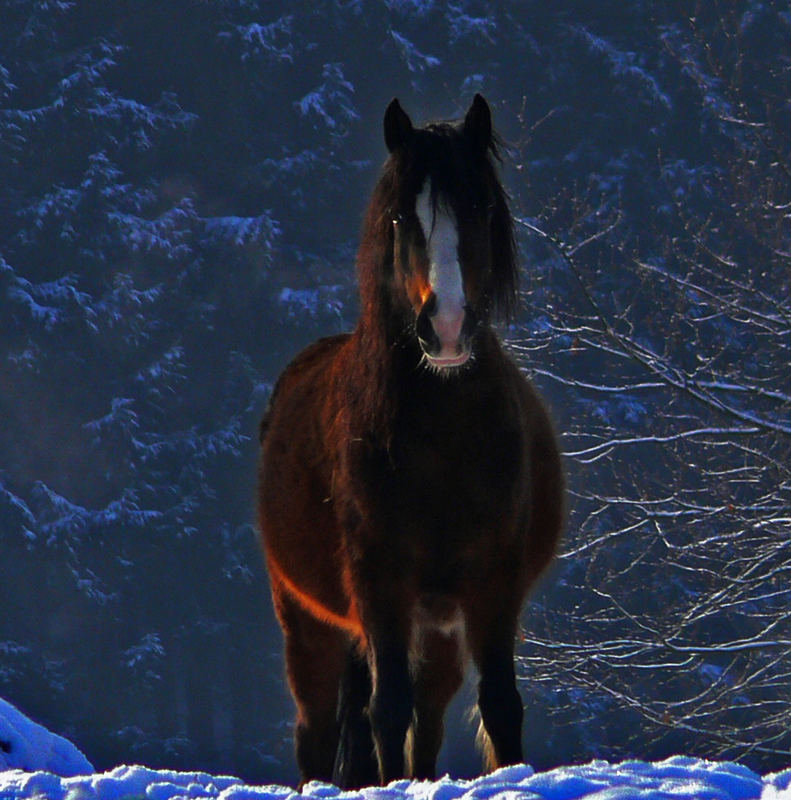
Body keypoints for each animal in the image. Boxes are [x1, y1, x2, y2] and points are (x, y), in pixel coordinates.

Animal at [258, 95, 564, 788]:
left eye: (480, 206)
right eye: (402, 217)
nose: (446, 328)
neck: (443, 444)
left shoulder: (493, 585)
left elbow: (499, 705)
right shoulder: (381, 586)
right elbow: (386, 709)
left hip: (440, 629)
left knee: (426, 719)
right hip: (308, 621)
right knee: (319, 729)